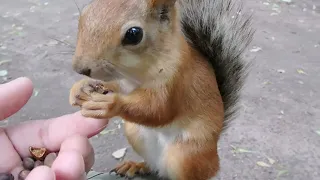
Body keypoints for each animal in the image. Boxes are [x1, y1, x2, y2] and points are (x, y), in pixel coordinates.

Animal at [69, 0, 252, 179]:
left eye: (134, 34)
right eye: (83, 15)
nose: (81, 68)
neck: (136, 72)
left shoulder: (176, 80)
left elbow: (158, 110)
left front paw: (110, 104)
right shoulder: (124, 82)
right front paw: (82, 87)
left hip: (185, 154)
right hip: (136, 134)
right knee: (155, 167)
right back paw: (137, 166)